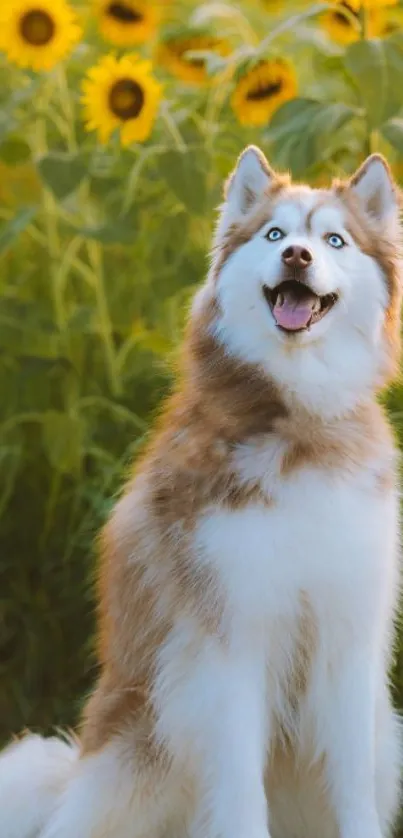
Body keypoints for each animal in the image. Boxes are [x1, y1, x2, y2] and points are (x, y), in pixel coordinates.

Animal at [1, 146, 402, 838]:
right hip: (139, 747)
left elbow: (351, 781)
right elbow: (239, 788)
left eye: (335, 240)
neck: (301, 425)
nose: (297, 256)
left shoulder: (348, 636)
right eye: (275, 234)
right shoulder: (229, 639)